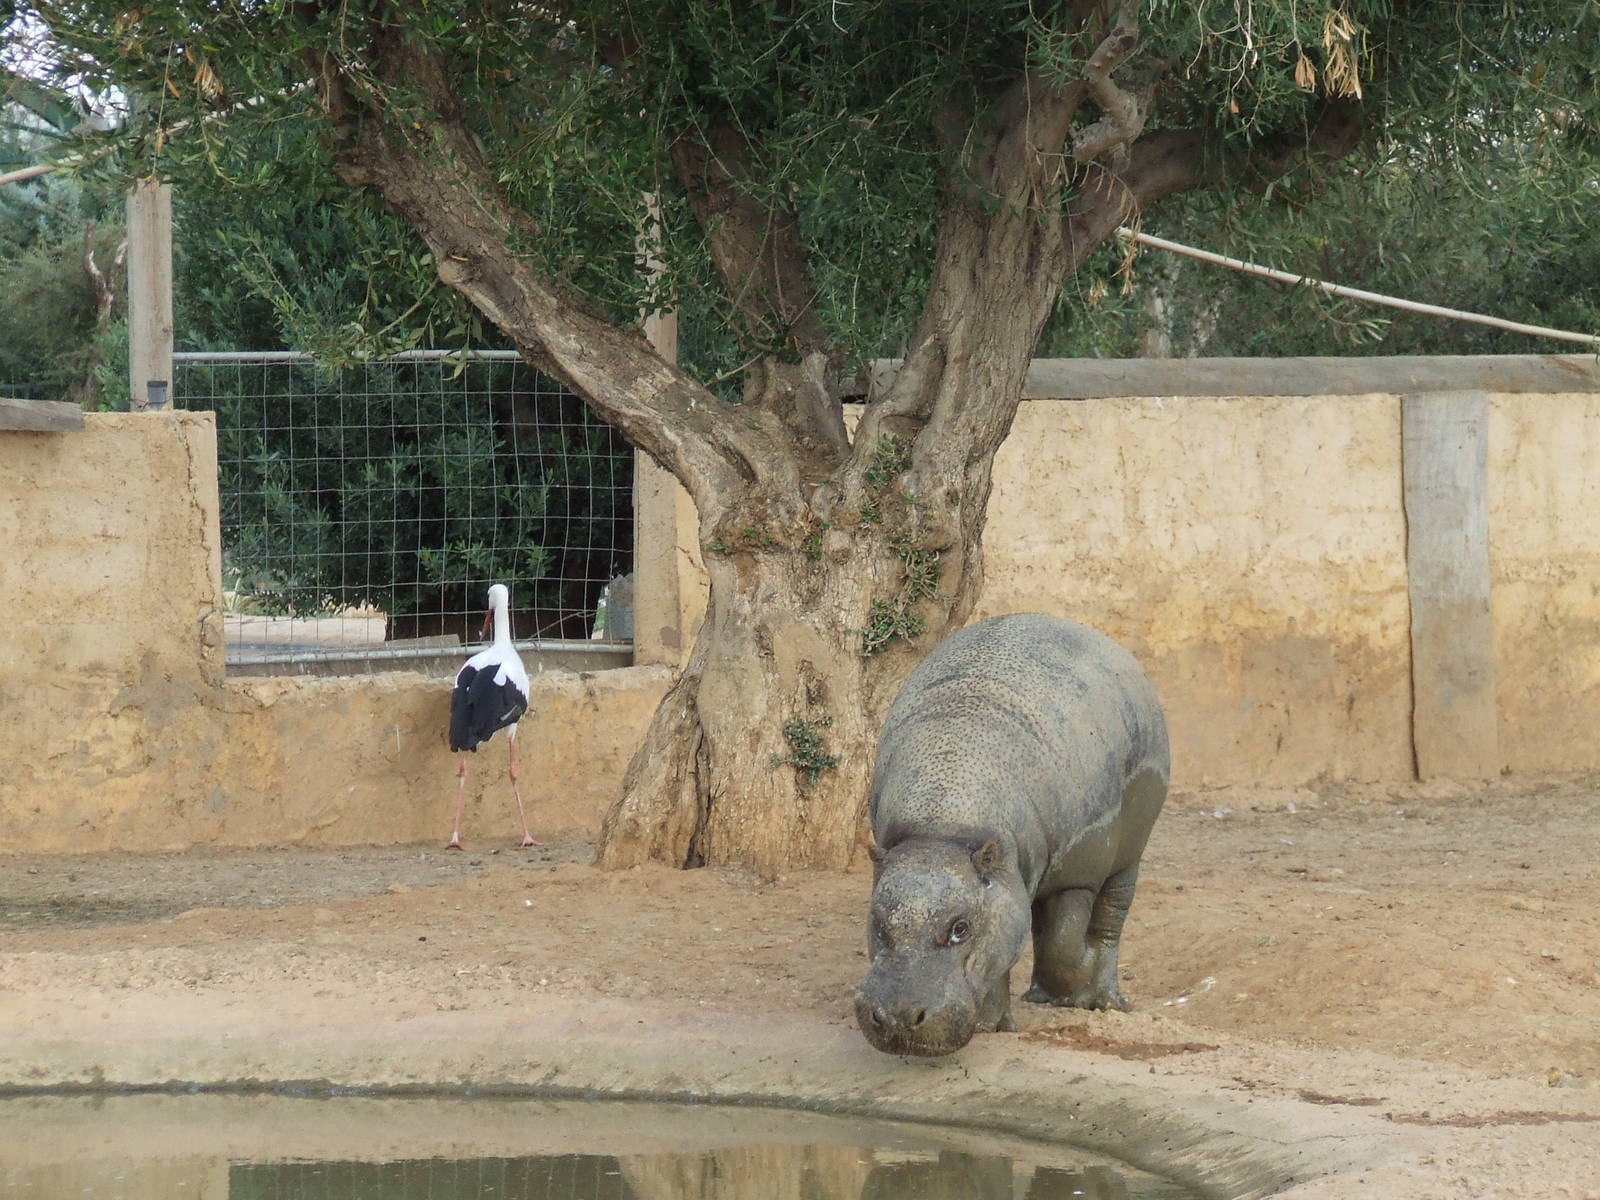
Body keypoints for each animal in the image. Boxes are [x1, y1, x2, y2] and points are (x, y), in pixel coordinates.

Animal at [854, 613, 1169, 1057]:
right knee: (1035, 922)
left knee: (1112, 915)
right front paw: (992, 1027)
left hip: (1129, 852)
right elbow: (1006, 950)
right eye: (878, 925)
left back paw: (1104, 1001)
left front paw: (1076, 982)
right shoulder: (1002, 880)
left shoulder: (1076, 874)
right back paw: (1039, 997)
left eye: (960, 928)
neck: (942, 830)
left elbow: (1063, 946)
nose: (899, 1018)